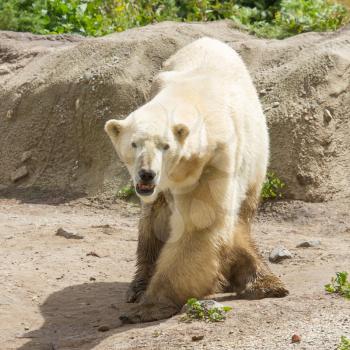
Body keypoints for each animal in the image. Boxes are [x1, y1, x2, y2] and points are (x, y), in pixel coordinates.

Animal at [105, 37, 288, 322]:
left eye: (165, 146)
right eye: (134, 144)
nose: (147, 173)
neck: (192, 94)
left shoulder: (214, 160)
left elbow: (199, 225)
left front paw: (149, 306)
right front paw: (144, 299)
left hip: (256, 159)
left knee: (241, 218)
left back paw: (261, 282)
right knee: (153, 219)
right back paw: (138, 286)